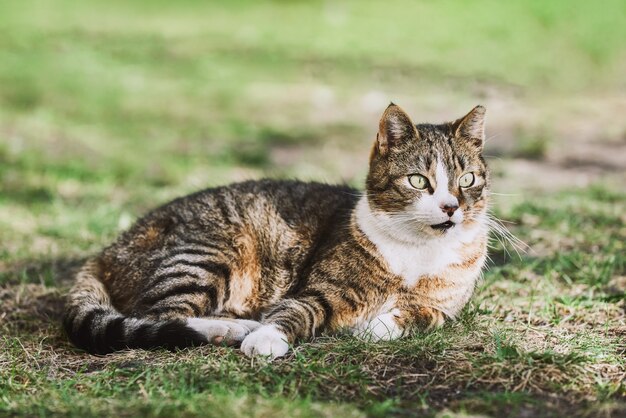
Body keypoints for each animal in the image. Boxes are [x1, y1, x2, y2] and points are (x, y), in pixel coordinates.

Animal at [66, 103, 490, 360]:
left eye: (466, 179)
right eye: (418, 181)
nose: (451, 207)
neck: (419, 250)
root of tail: (108, 249)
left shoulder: (445, 310)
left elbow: (418, 316)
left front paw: (375, 325)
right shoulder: (317, 291)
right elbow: (295, 310)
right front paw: (267, 338)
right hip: (208, 252)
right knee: (159, 318)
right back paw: (233, 329)